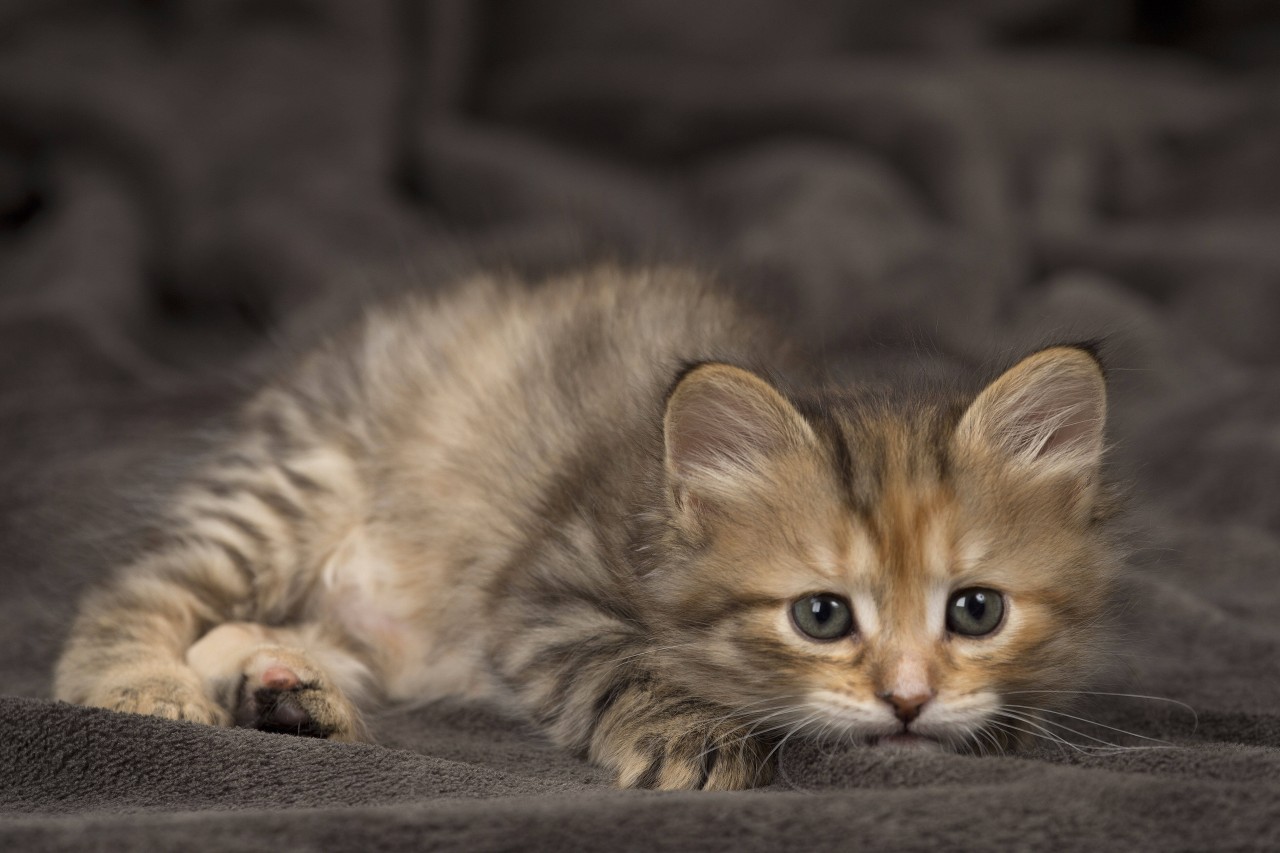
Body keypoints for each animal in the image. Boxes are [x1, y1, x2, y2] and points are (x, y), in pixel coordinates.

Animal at [57, 267, 1121, 788]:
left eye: (975, 611)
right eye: (821, 616)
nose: (907, 701)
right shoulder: (539, 593)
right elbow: (618, 666)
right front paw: (694, 739)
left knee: (245, 631)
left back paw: (291, 695)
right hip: (291, 488)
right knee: (141, 588)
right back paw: (143, 683)